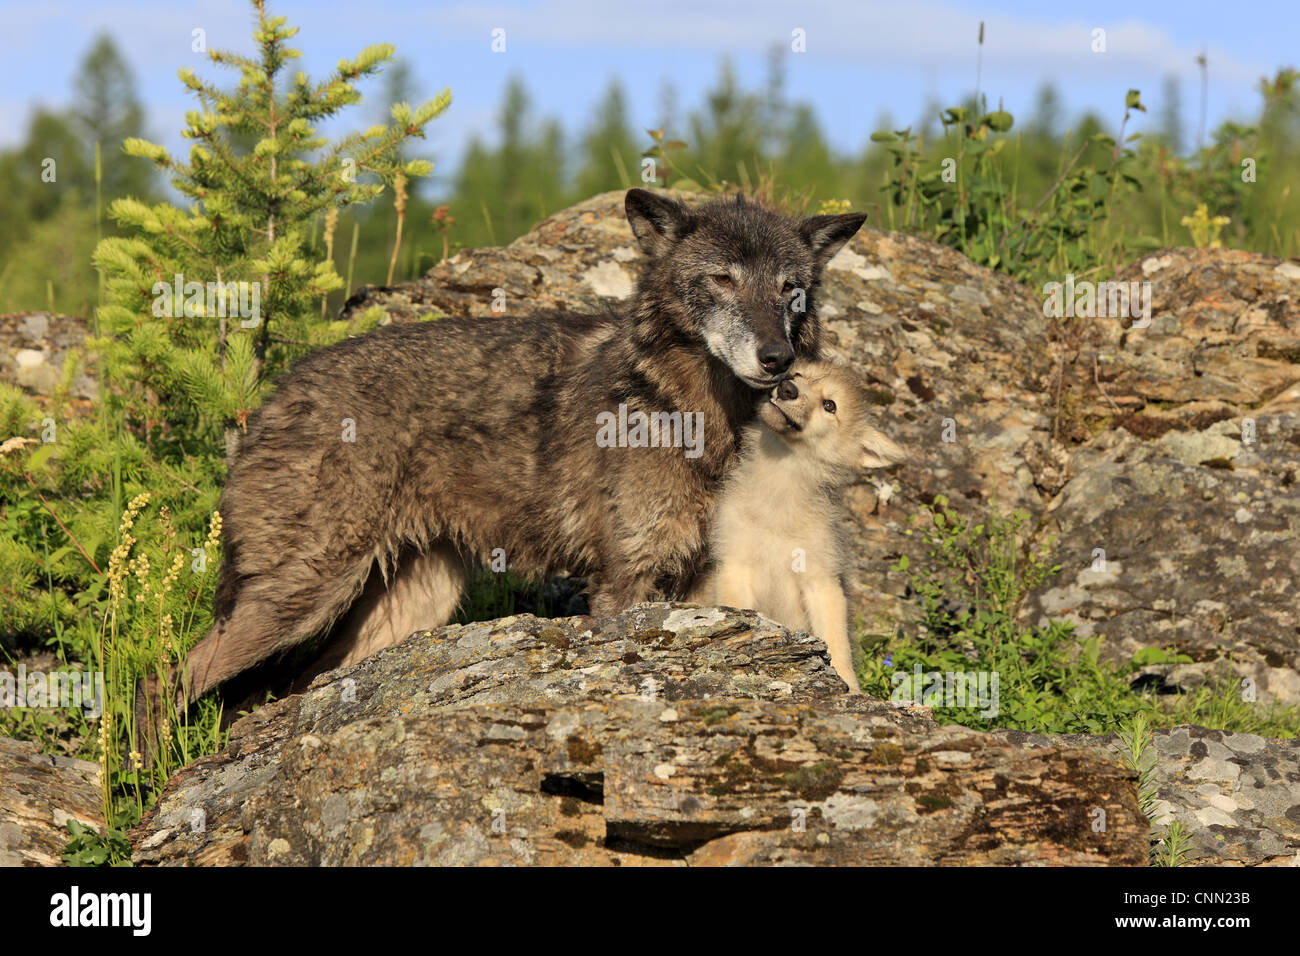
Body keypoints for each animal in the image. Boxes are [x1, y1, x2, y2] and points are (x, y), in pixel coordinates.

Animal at [134, 187, 863, 749]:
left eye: (792, 291)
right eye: (722, 279)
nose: (777, 359)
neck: (693, 413)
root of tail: (273, 398)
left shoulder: (690, 581)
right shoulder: (625, 582)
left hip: (405, 611)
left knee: (307, 686)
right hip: (299, 599)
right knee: (159, 680)